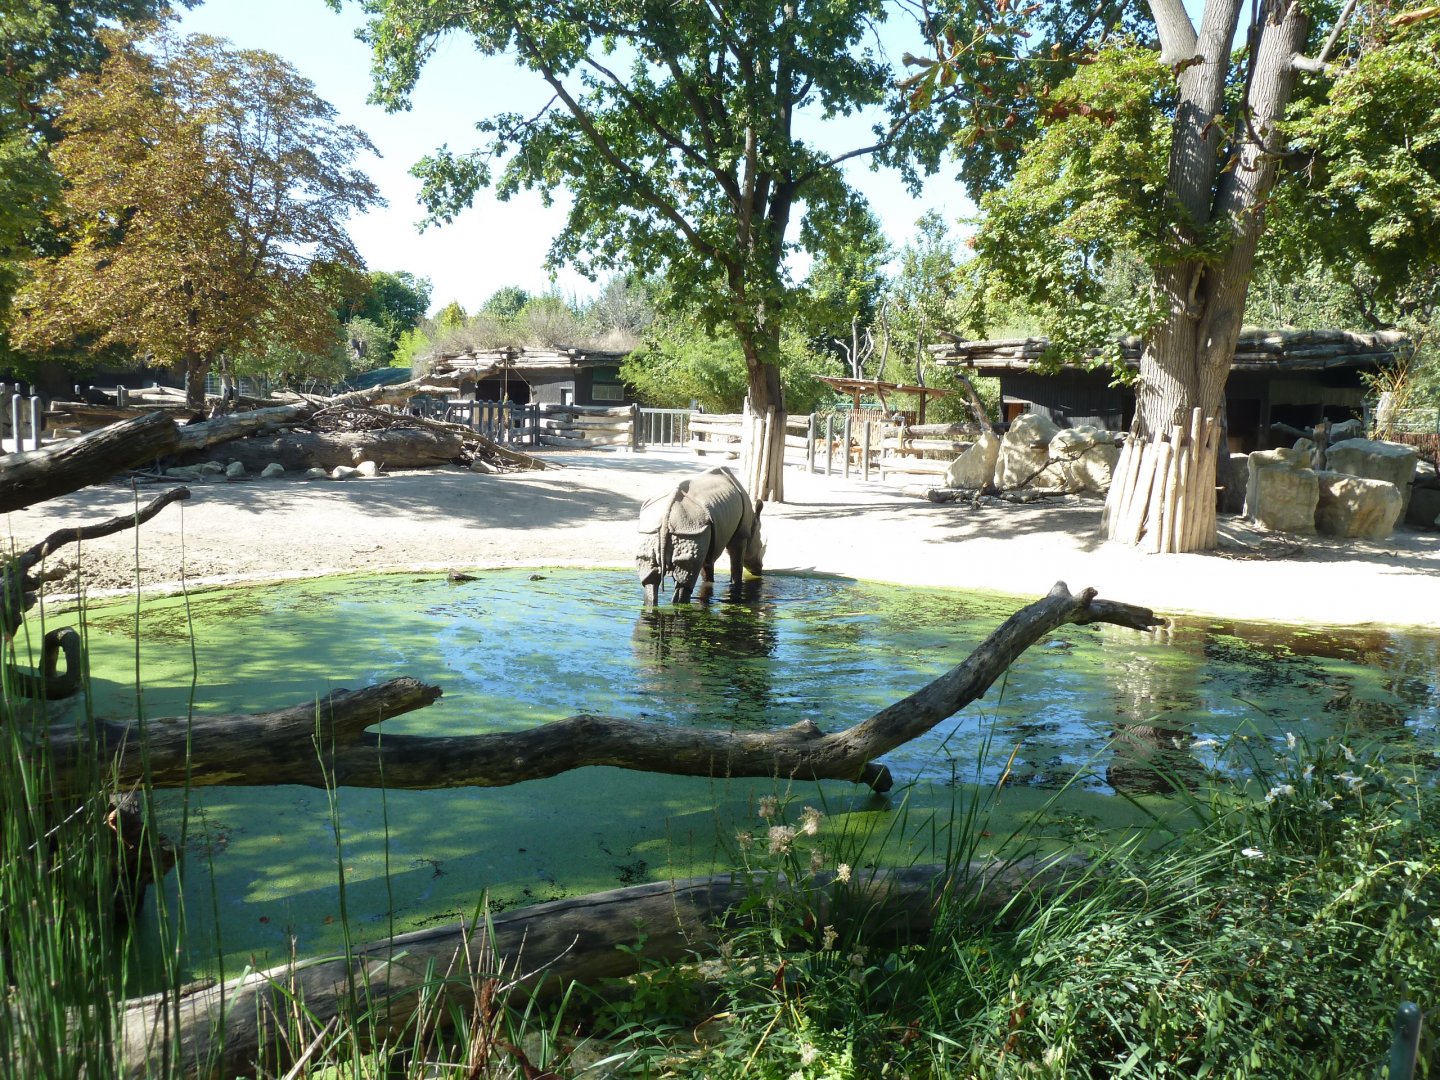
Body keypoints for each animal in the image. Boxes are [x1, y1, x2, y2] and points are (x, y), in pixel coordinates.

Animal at [636, 466, 765, 604]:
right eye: (761, 545)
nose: (759, 569)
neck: (753, 523)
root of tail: (666, 516)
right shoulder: (741, 535)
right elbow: (736, 566)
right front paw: (736, 586)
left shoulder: (707, 537)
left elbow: (707, 567)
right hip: (688, 530)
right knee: (684, 583)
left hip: (655, 531)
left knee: (650, 580)